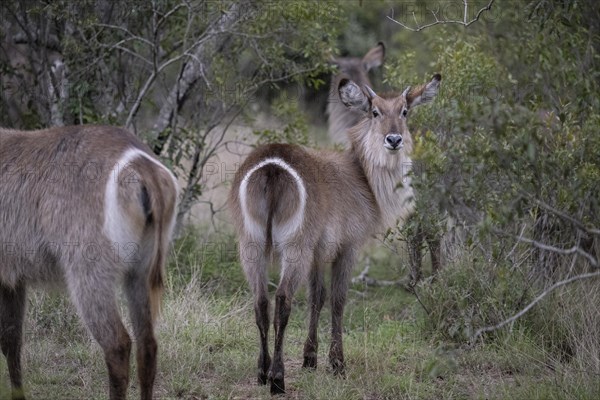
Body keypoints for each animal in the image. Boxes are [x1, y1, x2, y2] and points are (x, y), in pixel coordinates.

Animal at [0, 123, 178, 398]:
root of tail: (141, 164)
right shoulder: (13, 279)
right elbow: (11, 340)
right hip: (140, 273)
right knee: (147, 345)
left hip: (88, 273)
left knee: (118, 345)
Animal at [227, 72, 438, 394]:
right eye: (375, 112)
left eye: (404, 111)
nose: (393, 139)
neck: (362, 177)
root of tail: (273, 165)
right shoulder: (347, 247)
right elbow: (338, 299)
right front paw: (337, 363)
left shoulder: (318, 252)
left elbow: (317, 297)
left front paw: (310, 358)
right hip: (295, 246)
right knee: (283, 301)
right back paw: (277, 379)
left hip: (250, 244)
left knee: (260, 301)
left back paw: (262, 373)